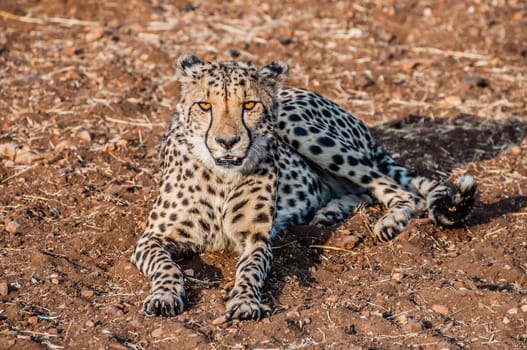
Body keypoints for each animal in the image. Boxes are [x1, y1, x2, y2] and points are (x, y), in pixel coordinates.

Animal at [131, 53, 474, 322]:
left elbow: (251, 269)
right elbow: (165, 266)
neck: (221, 176)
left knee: (399, 190)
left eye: (249, 105)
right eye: (204, 105)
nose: (227, 141)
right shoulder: (151, 239)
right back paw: (330, 212)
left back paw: (388, 221)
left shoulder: (256, 238)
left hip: (299, 128)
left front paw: (245, 300)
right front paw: (164, 296)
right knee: (366, 189)